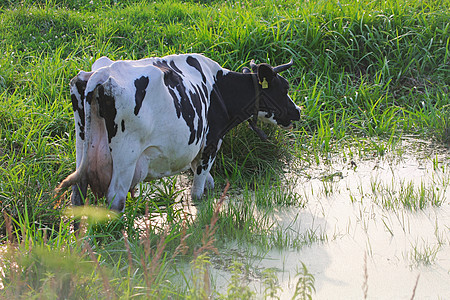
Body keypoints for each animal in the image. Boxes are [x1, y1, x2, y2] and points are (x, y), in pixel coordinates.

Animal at [57, 54, 302, 213]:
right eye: (284, 88)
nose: (298, 111)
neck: (219, 89)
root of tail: (102, 73)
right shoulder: (210, 143)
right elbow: (198, 191)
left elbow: (209, 183)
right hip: (126, 157)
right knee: (115, 200)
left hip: (82, 146)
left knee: (77, 194)